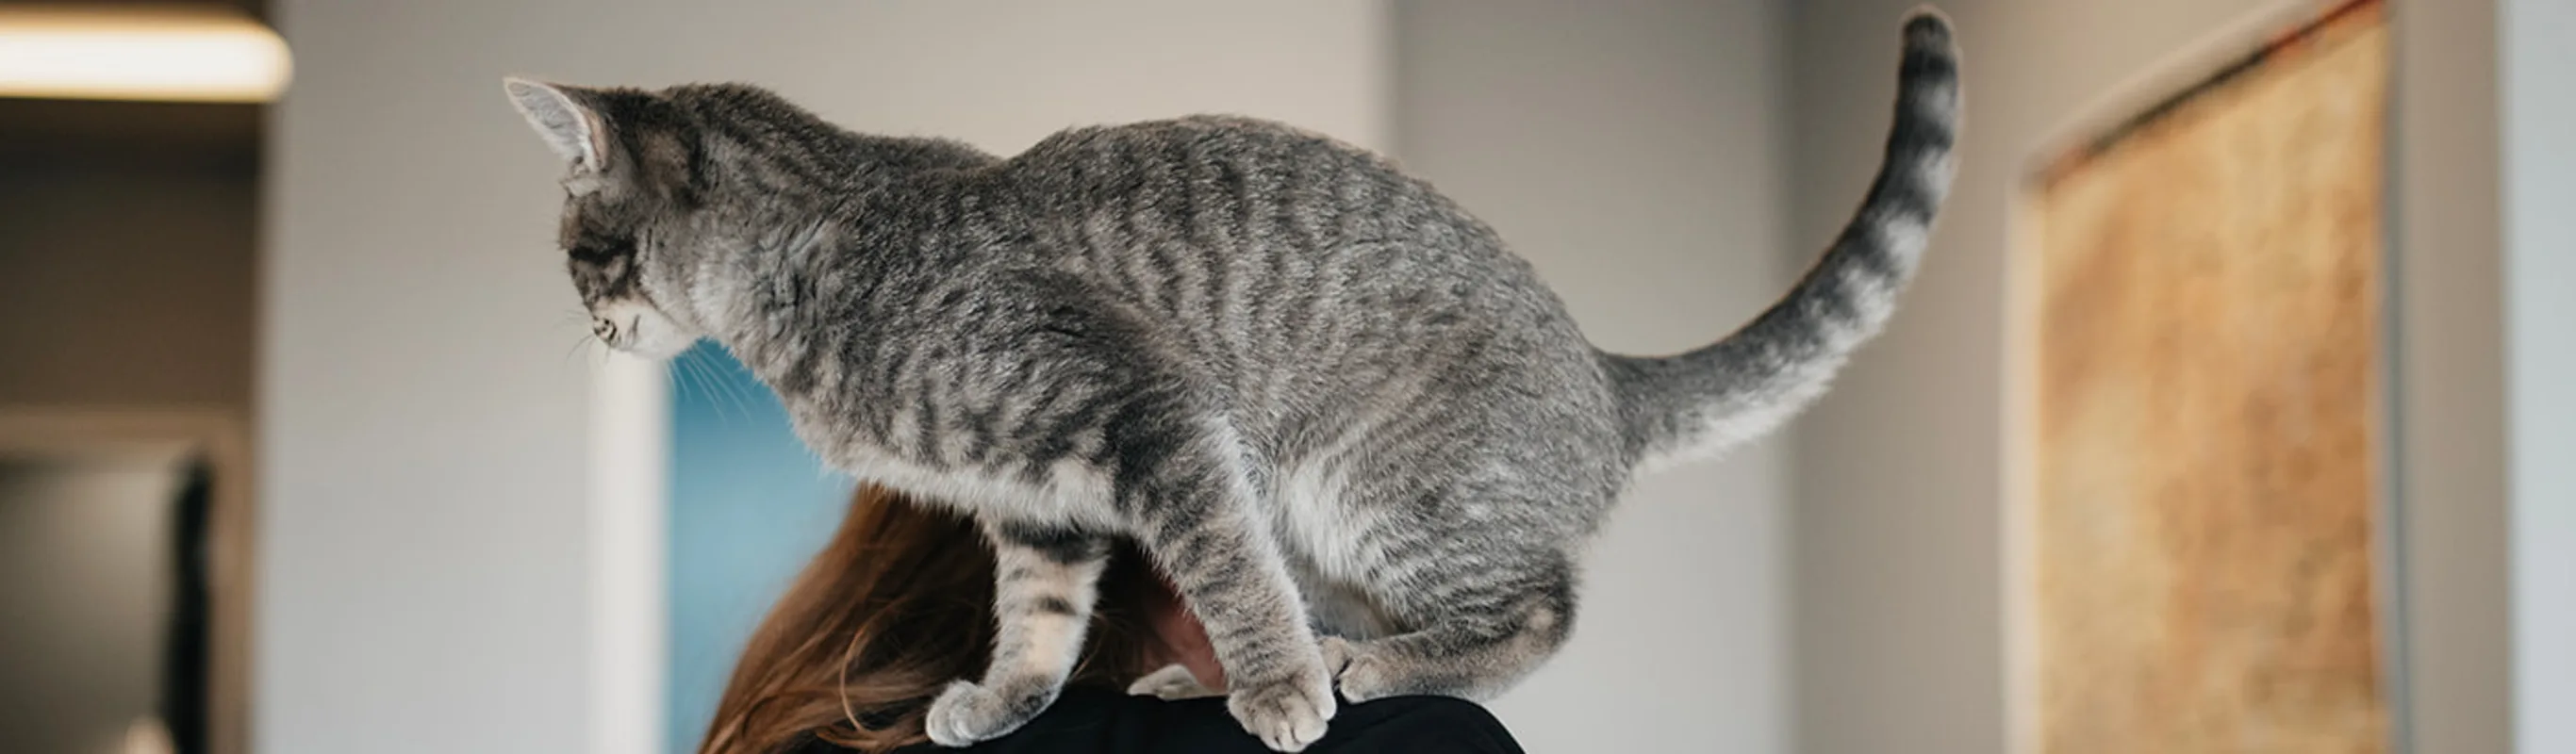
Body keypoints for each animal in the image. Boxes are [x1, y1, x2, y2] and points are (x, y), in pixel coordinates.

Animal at [502, 9, 1947, 746]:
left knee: (1539, 609)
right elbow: (1037, 613)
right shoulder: (1038, 502)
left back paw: (1360, 667)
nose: (589, 330)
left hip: (1374, 487)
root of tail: (1600, 366)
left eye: (576, 256)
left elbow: (1222, 570)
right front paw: (1010, 698)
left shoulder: (1149, 412)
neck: (823, 249)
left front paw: (1279, 689)